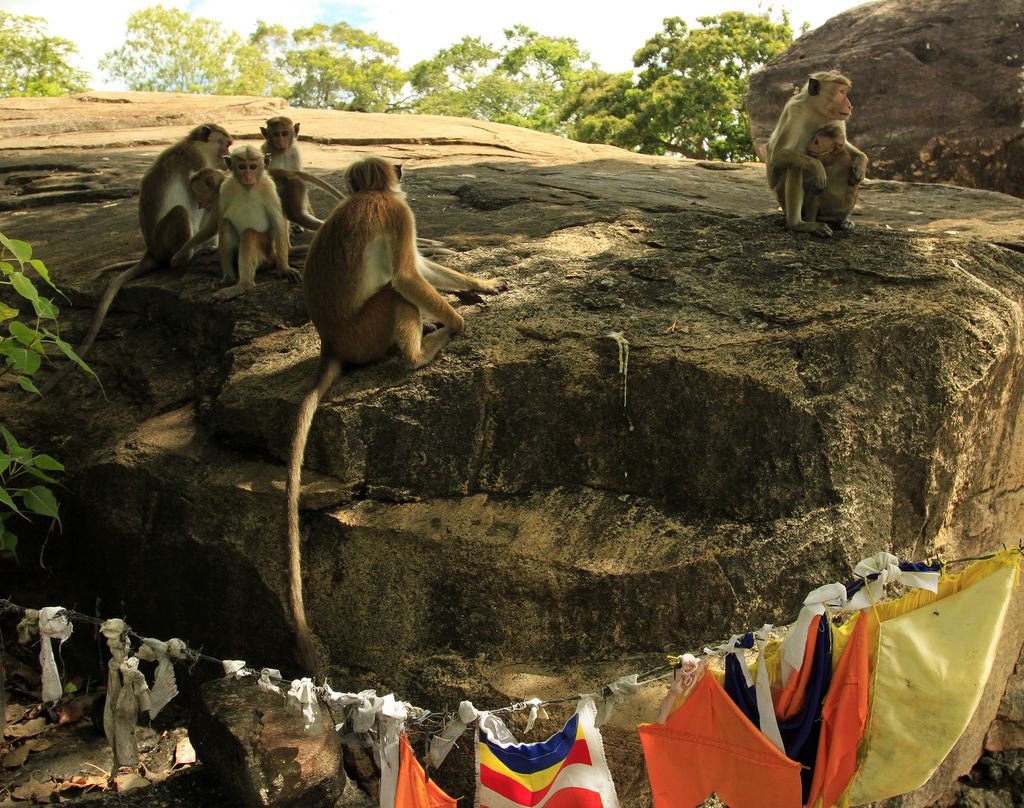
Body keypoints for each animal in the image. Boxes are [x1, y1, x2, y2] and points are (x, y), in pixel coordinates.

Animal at [39, 122, 232, 393]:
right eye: (226, 143)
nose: (228, 157)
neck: (196, 145)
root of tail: (151, 251)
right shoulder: (197, 160)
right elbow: (205, 198)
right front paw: (211, 244)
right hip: (165, 241)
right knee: (182, 213)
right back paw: (187, 254)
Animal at [173, 144, 292, 299]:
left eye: (253, 167)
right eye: (242, 167)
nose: (248, 177)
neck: (247, 189)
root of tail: (272, 255)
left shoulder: (268, 188)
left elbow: (278, 222)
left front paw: (284, 269)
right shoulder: (225, 190)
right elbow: (218, 223)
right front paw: (184, 251)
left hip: (266, 251)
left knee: (248, 234)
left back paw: (243, 286)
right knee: (226, 224)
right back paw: (229, 279)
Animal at [282, 155, 505, 667]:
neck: (368, 195)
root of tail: (331, 344)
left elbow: (419, 267)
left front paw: (480, 283)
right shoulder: (397, 215)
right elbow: (407, 275)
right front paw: (458, 321)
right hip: (368, 330)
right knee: (395, 292)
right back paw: (421, 352)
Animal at [765, 70, 868, 236]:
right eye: (841, 92)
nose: (850, 105)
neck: (816, 111)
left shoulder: (837, 119)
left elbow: (842, 144)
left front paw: (861, 161)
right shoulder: (795, 111)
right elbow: (778, 155)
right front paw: (817, 166)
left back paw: (843, 221)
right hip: (781, 195)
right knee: (795, 166)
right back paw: (798, 224)